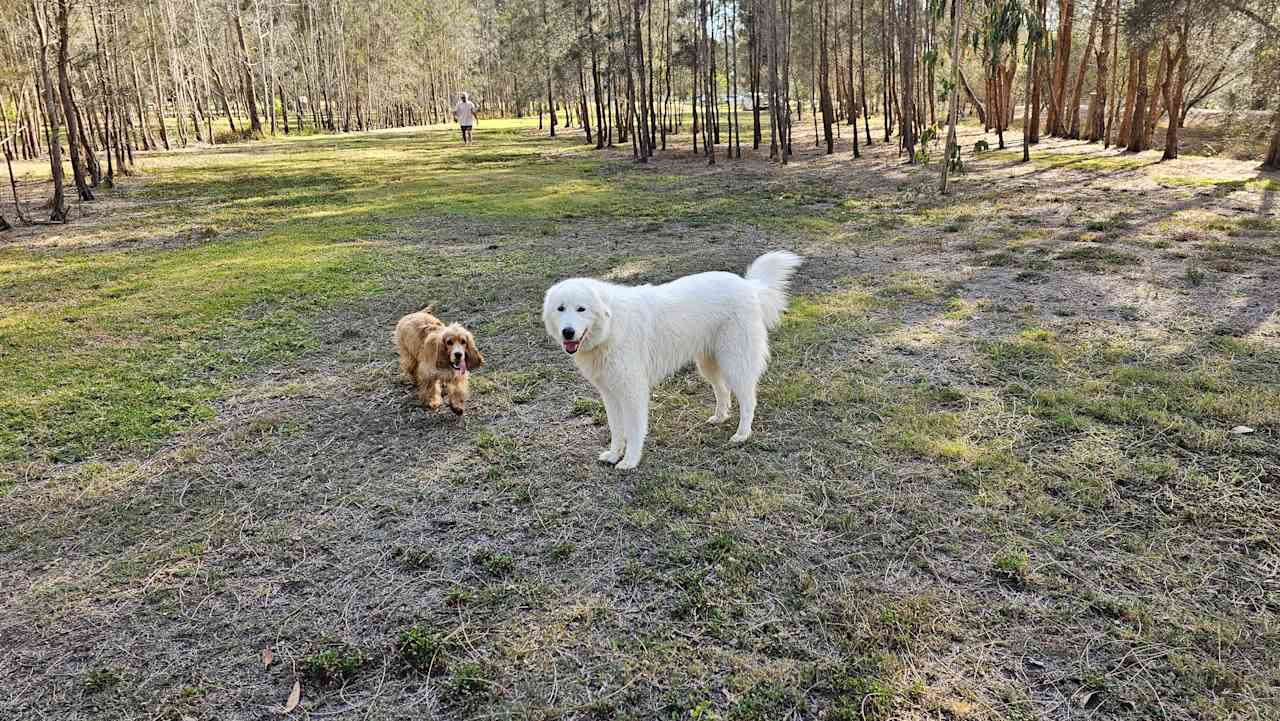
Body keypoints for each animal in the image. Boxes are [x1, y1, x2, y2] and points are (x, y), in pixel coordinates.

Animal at [540, 251, 798, 471]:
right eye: (560, 309)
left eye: (581, 309)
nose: (568, 332)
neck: (611, 326)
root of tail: (749, 286)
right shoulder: (610, 394)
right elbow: (617, 430)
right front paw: (614, 455)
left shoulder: (633, 392)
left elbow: (634, 430)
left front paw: (630, 461)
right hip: (708, 364)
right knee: (723, 391)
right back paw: (719, 417)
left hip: (735, 363)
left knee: (748, 401)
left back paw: (742, 434)